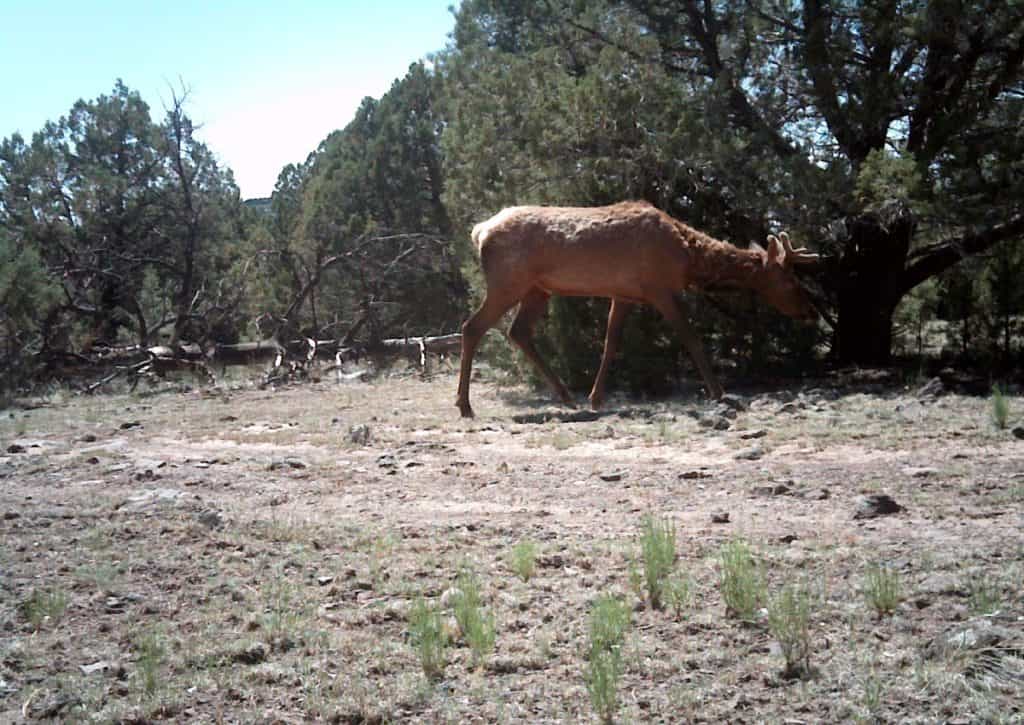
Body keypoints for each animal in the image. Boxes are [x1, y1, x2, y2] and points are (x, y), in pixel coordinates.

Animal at [455, 201, 820, 418]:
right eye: (789, 281)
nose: (811, 311)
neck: (688, 259)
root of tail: (479, 231)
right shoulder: (659, 289)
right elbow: (690, 337)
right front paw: (719, 391)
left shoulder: (625, 294)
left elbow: (610, 344)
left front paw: (596, 398)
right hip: (508, 282)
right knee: (472, 327)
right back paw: (465, 405)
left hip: (537, 289)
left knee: (518, 332)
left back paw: (567, 397)